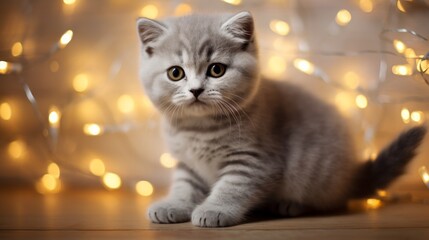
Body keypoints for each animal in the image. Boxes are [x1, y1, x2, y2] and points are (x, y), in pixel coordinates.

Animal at [136, 12, 424, 228]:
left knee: (330, 200)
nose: (196, 90)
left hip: (316, 174)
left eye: (216, 70)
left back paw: (290, 204)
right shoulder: (187, 163)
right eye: (176, 73)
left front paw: (214, 209)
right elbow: (184, 185)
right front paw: (174, 205)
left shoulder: (254, 160)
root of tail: (352, 176)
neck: (198, 128)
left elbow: (233, 186)